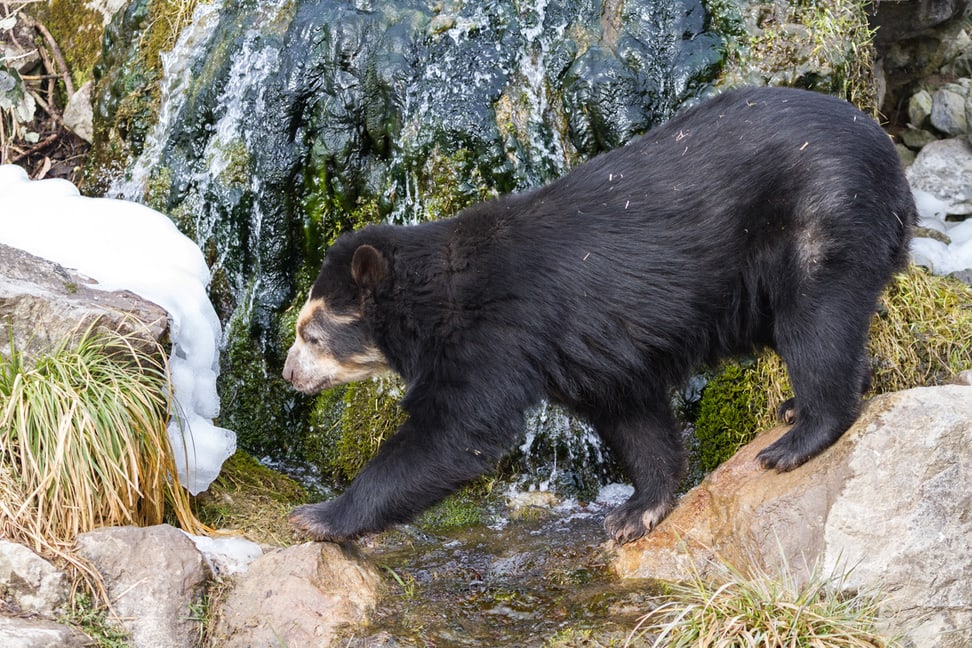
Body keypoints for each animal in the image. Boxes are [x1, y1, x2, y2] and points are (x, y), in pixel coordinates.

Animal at [280, 85, 912, 540]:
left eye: (310, 333)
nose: (286, 374)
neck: (439, 295)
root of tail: (886, 150)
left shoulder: (498, 334)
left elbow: (455, 430)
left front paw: (319, 516)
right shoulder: (588, 349)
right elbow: (631, 413)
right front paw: (638, 510)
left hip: (820, 222)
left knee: (818, 324)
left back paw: (797, 437)